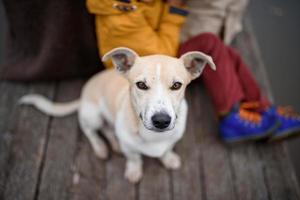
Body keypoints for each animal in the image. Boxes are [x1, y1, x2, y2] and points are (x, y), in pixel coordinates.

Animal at [19, 47, 216, 183]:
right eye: (141, 85)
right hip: (93, 115)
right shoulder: (130, 147)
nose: (161, 121)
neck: (153, 136)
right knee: (90, 131)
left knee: (108, 129)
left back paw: (114, 143)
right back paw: (100, 147)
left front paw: (168, 159)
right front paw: (134, 171)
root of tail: (83, 95)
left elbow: (167, 149)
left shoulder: (173, 138)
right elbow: (134, 158)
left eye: (176, 85)